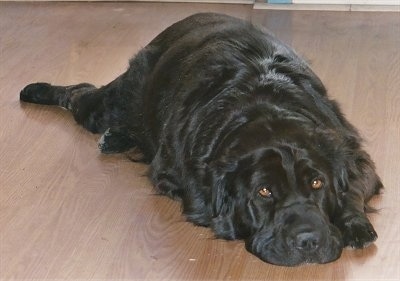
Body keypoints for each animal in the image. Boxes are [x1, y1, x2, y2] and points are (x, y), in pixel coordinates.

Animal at [21, 13, 382, 266]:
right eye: (264, 192)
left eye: (318, 184)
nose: (308, 241)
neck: (266, 108)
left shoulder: (353, 152)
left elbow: (353, 187)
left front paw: (355, 223)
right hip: (111, 103)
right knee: (81, 93)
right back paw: (36, 91)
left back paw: (117, 138)